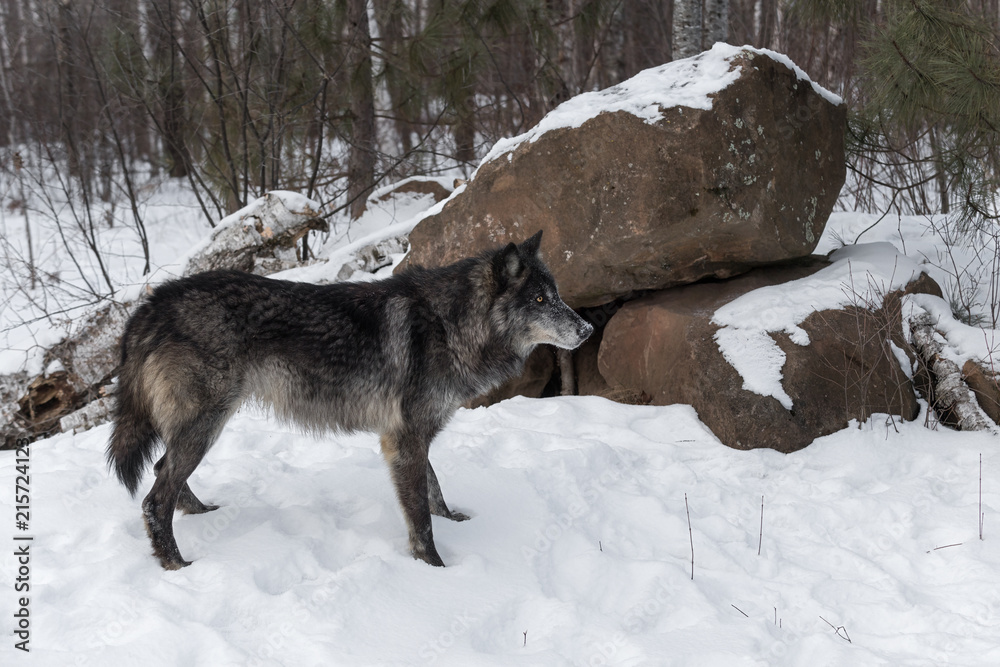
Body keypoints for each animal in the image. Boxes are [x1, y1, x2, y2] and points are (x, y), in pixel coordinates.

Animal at [107, 230, 592, 569]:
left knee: (162, 472)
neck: (449, 323)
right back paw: (176, 564)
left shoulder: (409, 436)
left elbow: (434, 490)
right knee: (154, 497)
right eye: (539, 299)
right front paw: (435, 569)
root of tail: (152, 303)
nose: (588, 330)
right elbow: (420, 517)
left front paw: (454, 519)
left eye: (556, 294)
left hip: (199, 427)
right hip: (206, 424)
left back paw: (201, 513)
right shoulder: (404, 439)